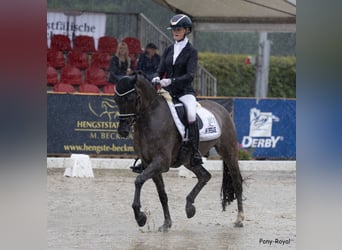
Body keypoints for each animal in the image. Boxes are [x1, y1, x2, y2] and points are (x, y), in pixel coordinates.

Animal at [113, 72, 244, 232]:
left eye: (131, 99)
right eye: (116, 99)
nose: (123, 131)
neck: (150, 118)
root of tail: (222, 109)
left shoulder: (161, 162)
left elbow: (138, 180)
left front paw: (140, 217)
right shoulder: (149, 162)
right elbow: (162, 194)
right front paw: (166, 223)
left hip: (229, 152)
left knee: (237, 182)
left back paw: (239, 219)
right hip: (189, 160)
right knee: (205, 176)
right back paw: (189, 207)